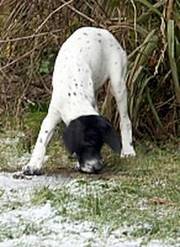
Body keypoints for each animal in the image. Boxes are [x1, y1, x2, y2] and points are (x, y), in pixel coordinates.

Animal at [22, 26, 135, 175]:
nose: (97, 167)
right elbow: (41, 141)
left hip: (118, 83)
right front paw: (33, 165)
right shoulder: (52, 115)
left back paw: (128, 150)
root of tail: (101, 30)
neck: (74, 95)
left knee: (125, 119)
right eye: (87, 145)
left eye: (100, 145)